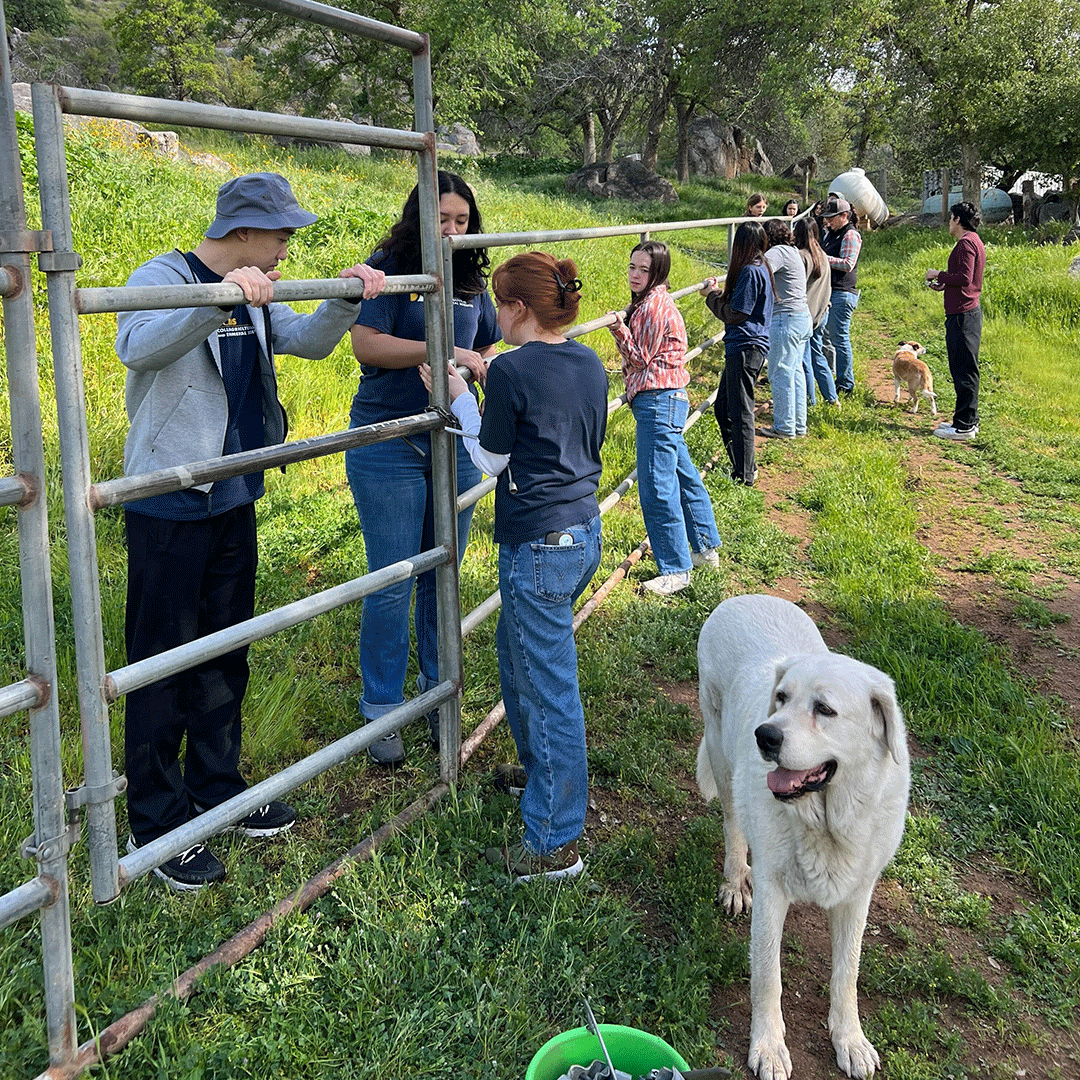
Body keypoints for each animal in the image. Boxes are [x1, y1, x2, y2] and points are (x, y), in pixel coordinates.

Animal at [691, 596, 911, 1075]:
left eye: (824, 709)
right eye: (781, 698)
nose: (765, 735)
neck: (827, 821)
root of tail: (741, 597)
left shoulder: (858, 895)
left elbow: (847, 973)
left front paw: (850, 1040)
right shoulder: (773, 893)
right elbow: (767, 977)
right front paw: (769, 1048)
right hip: (720, 751)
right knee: (733, 823)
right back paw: (734, 881)